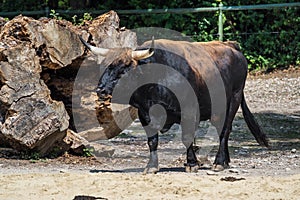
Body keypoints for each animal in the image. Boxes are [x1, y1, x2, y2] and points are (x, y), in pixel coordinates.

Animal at [78, 36, 268, 173]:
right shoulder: (144, 113)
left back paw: (220, 162)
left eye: (124, 68)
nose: (100, 90)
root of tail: (231, 46)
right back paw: (226, 161)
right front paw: (151, 166)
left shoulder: (189, 110)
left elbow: (187, 138)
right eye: (104, 66)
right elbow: (152, 141)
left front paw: (192, 163)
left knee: (224, 131)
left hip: (233, 100)